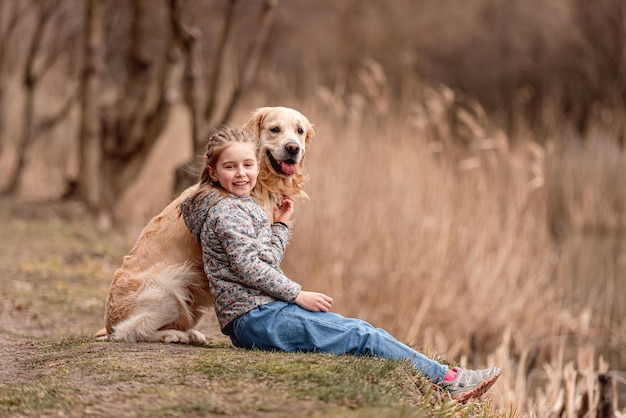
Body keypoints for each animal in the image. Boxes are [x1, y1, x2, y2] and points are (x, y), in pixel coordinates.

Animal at [93, 107, 314, 342]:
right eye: (274, 129)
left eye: (299, 131)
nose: (293, 148)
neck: (261, 185)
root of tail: (108, 324)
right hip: (170, 283)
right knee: (130, 331)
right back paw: (174, 335)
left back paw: (190, 333)